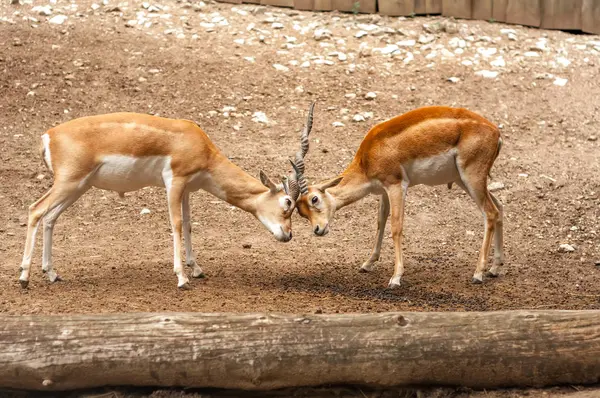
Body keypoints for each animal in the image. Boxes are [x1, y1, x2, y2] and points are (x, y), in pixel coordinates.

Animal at [18, 109, 314, 290]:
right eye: (287, 203)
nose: (288, 235)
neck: (199, 145)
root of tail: (49, 136)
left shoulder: (188, 189)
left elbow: (190, 225)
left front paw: (196, 269)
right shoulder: (175, 182)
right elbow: (176, 224)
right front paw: (182, 277)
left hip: (78, 187)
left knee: (50, 218)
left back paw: (52, 273)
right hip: (68, 183)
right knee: (35, 210)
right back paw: (23, 276)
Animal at [290, 105, 502, 286]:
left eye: (314, 199)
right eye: (300, 212)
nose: (318, 230)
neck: (367, 159)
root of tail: (495, 132)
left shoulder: (396, 185)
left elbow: (396, 227)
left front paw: (396, 277)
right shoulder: (384, 191)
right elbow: (380, 222)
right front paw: (368, 263)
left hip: (471, 177)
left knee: (490, 213)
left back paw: (478, 273)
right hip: (463, 180)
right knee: (499, 207)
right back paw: (494, 268)